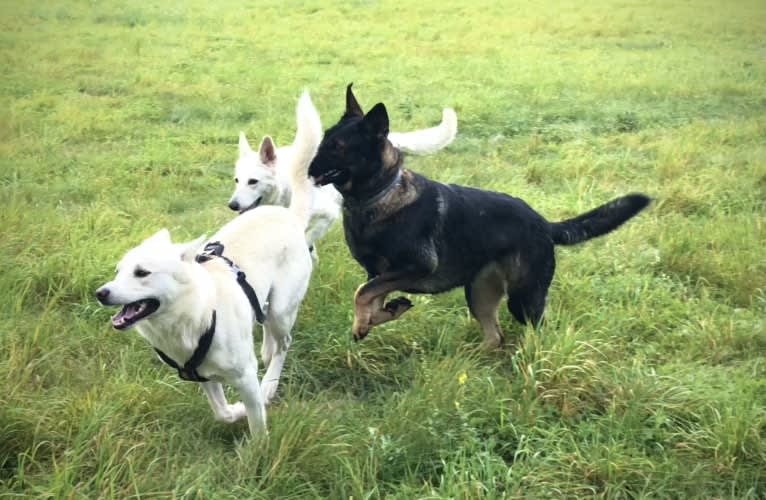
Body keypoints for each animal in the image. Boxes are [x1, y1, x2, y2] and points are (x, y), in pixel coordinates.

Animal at [95, 92, 320, 436]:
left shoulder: (245, 376)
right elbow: (221, 412)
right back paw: (266, 351)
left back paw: (271, 381)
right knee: (266, 324)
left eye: (142, 273)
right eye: (118, 272)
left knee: (284, 342)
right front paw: (235, 411)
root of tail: (288, 216)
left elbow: (258, 423)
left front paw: (259, 442)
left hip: (283, 309)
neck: (194, 314)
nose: (101, 293)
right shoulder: (202, 376)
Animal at [228, 101, 456, 260]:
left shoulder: (328, 214)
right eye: (237, 180)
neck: (288, 185)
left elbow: (307, 237)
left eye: (253, 181)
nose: (232, 205)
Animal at [308, 84, 652, 346]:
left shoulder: (415, 266)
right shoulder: (378, 274)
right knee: (495, 337)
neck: (380, 195)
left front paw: (364, 322)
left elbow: (361, 294)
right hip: (479, 294)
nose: (308, 169)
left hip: (523, 299)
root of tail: (543, 224)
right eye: (325, 139)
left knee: (536, 330)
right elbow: (369, 297)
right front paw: (381, 315)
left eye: (339, 146)